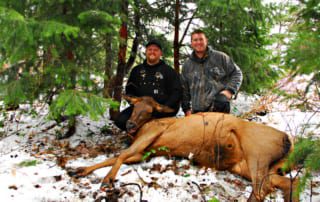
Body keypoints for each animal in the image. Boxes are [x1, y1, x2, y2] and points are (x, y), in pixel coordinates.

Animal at [67, 95, 298, 201]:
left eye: (148, 111)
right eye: (134, 107)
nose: (130, 125)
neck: (143, 129)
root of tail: (289, 141)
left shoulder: (151, 134)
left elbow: (121, 155)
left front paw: (107, 180)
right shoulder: (143, 152)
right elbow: (116, 157)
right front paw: (79, 170)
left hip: (257, 154)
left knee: (261, 191)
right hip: (249, 166)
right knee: (286, 183)